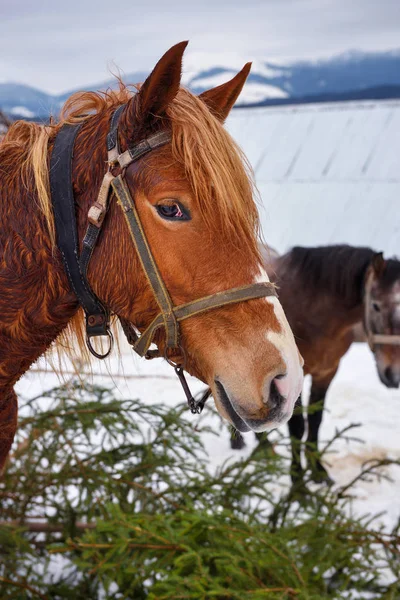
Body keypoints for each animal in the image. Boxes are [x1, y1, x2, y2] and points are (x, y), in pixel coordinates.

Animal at [233, 246, 398, 486]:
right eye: (376, 305)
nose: (393, 375)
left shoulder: (327, 372)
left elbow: (315, 420)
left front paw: (318, 471)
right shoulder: (293, 377)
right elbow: (297, 426)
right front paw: (298, 481)